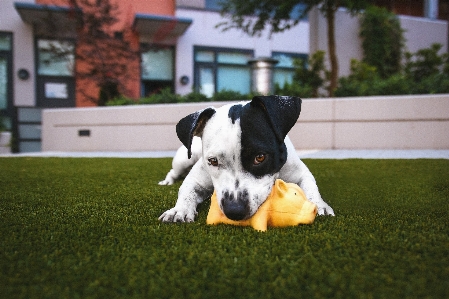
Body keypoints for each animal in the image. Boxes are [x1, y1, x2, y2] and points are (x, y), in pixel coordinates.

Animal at [158, 96, 332, 223]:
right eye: (213, 161)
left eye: (260, 157)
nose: (234, 210)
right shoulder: (196, 179)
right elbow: (186, 191)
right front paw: (179, 210)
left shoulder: (300, 173)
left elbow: (311, 186)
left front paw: (319, 205)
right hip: (183, 159)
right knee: (174, 171)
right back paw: (167, 181)